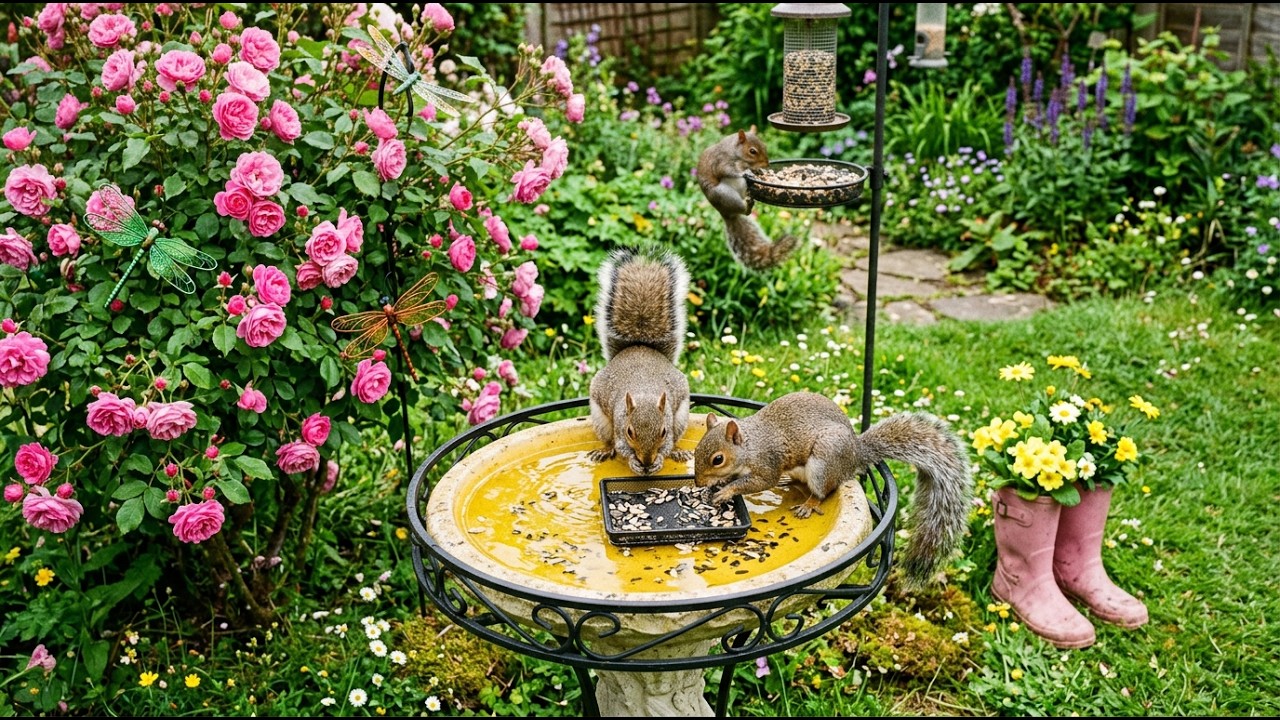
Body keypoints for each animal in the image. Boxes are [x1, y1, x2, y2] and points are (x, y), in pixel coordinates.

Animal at [588, 245, 693, 475]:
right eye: (629, 431)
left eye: (663, 431)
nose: (646, 460)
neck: (644, 393)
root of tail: (639, 346)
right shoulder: (619, 425)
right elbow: (621, 447)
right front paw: (633, 461)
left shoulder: (669, 422)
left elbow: (667, 446)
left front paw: (660, 458)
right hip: (601, 420)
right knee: (609, 441)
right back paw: (603, 450)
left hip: (681, 417)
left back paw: (678, 452)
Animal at [692, 391, 973, 589]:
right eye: (695, 450)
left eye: (718, 459)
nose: (697, 482)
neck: (750, 445)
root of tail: (854, 456)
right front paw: (718, 486)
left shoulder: (767, 463)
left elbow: (760, 482)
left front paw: (726, 490)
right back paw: (789, 484)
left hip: (824, 462)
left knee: (822, 491)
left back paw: (809, 505)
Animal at [696, 127, 800, 271]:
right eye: (752, 151)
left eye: (764, 145)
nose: (766, 164)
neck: (734, 152)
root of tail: (727, 215)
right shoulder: (720, 162)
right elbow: (729, 171)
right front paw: (745, 172)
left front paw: (757, 171)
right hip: (724, 194)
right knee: (745, 211)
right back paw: (748, 205)